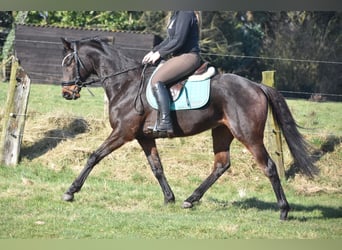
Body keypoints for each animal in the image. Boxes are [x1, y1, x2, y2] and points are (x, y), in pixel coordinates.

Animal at [59, 36, 318, 220]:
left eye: (70, 62)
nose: (66, 93)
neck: (125, 84)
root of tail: (256, 86)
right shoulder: (144, 137)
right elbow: (157, 168)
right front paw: (169, 198)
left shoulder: (123, 133)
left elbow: (94, 156)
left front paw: (71, 191)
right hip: (222, 132)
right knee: (221, 165)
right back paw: (190, 199)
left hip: (248, 136)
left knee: (269, 167)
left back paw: (283, 210)